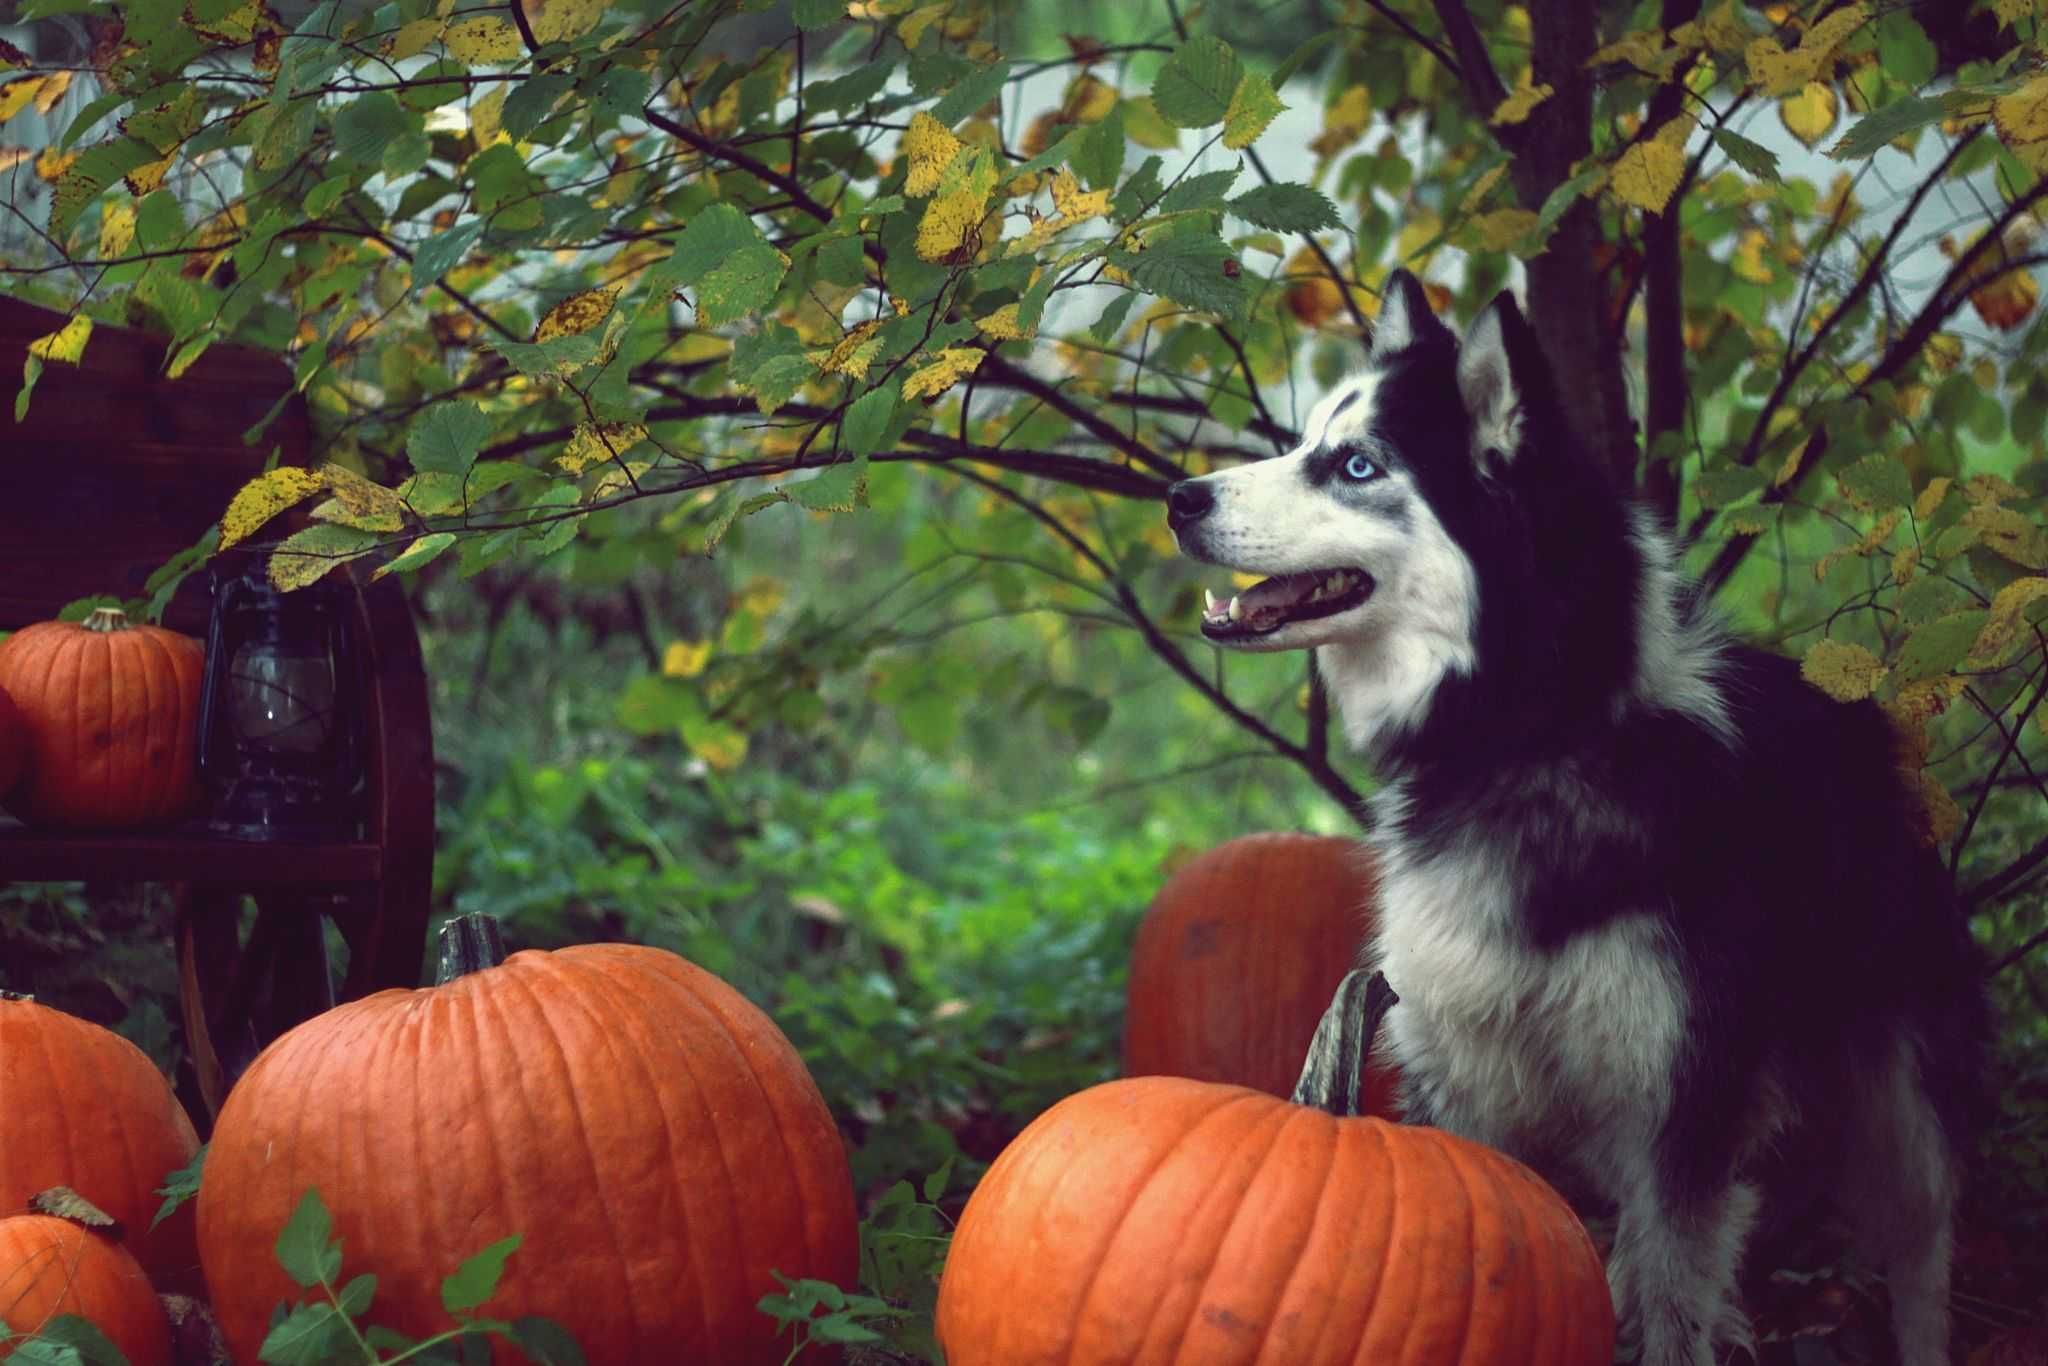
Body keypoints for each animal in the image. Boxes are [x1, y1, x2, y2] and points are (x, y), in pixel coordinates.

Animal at [1171, 266, 1982, 1366]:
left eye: (1355, 465)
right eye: (1305, 444)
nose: (1178, 497)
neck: (1525, 744)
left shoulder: (1687, 1099)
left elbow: (1676, 1297)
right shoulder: (1461, 1068)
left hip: (1898, 1095)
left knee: (1919, 1246)